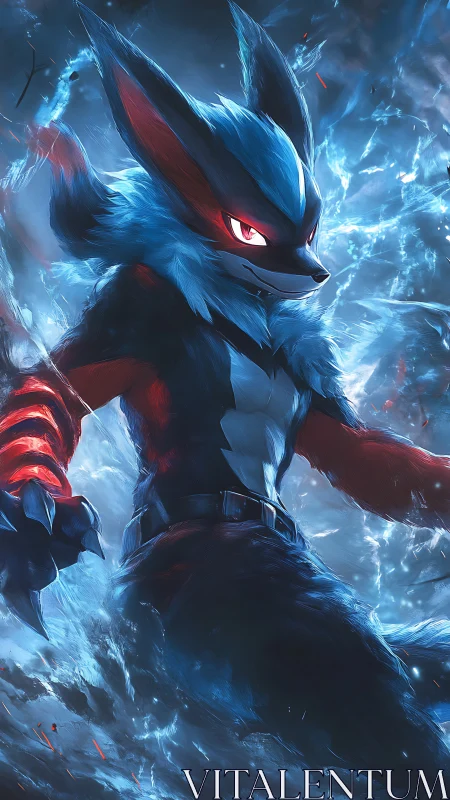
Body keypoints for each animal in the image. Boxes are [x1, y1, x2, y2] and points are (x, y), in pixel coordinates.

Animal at [0, 1, 450, 774]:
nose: (318, 272)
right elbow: (54, 390)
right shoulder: (134, 303)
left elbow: (360, 459)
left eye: (312, 225)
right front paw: (39, 507)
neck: (236, 305)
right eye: (247, 229)